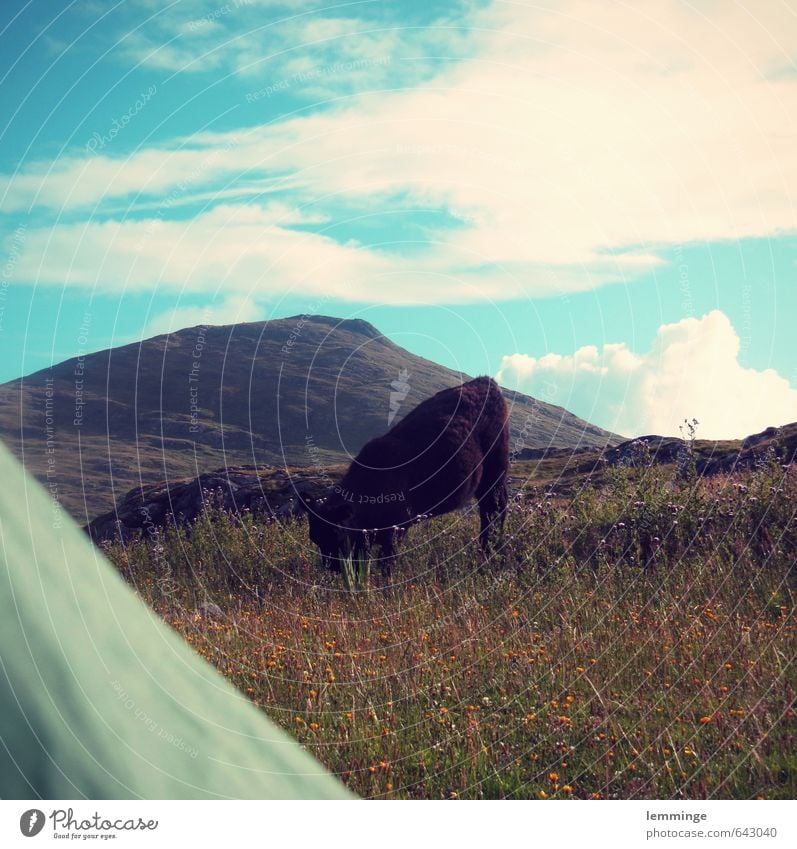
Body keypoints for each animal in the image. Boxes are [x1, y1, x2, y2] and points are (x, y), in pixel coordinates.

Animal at [302, 378, 506, 576]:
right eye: (315, 538)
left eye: (337, 534)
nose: (331, 567)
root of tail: (485, 381)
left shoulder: (395, 532)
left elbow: (386, 565)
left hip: (495, 466)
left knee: (495, 507)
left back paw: (491, 549)